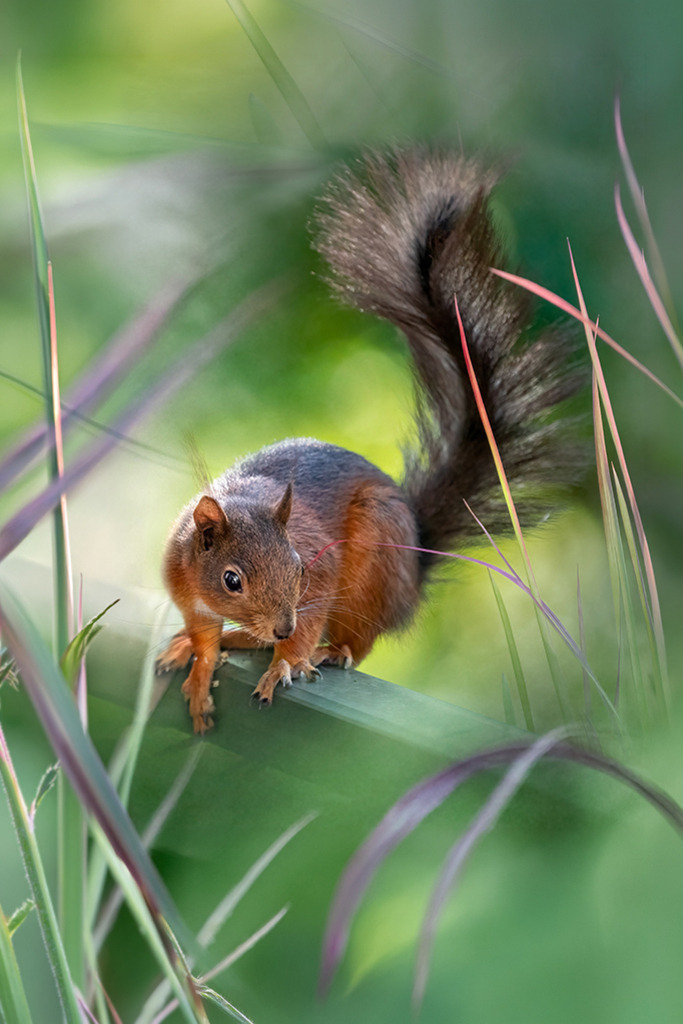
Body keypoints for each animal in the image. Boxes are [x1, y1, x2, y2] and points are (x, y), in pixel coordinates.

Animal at [156, 147, 584, 733]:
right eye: (231, 580)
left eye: (299, 566)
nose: (284, 627)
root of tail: (413, 566)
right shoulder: (186, 587)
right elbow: (202, 634)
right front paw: (200, 666)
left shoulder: (320, 579)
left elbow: (310, 619)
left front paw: (286, 663)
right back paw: (242, 640)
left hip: (372, 569)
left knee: (359, 641)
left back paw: (322, 651)